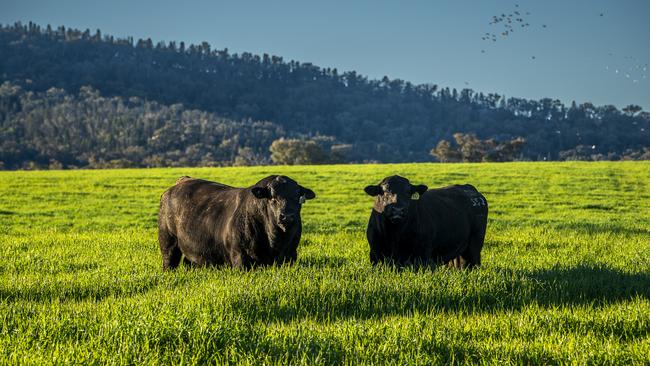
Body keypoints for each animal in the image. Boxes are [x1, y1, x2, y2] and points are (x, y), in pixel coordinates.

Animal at [159, 174, 316, 268]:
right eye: (272, 197)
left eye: (297, 197)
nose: (287, 216)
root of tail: (183, 180)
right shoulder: (240, 258)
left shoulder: (291, 256)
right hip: (168, 243)